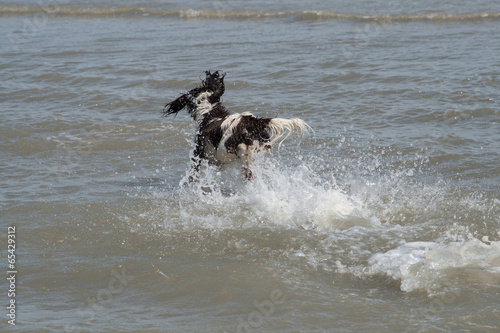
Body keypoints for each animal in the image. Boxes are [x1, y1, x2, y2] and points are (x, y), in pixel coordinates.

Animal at [164, 70, 310, 179]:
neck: (208, 111)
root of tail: (253, 122)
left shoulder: (199, 152)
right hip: (260, 150)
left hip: (228, 148)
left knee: (246, 168)